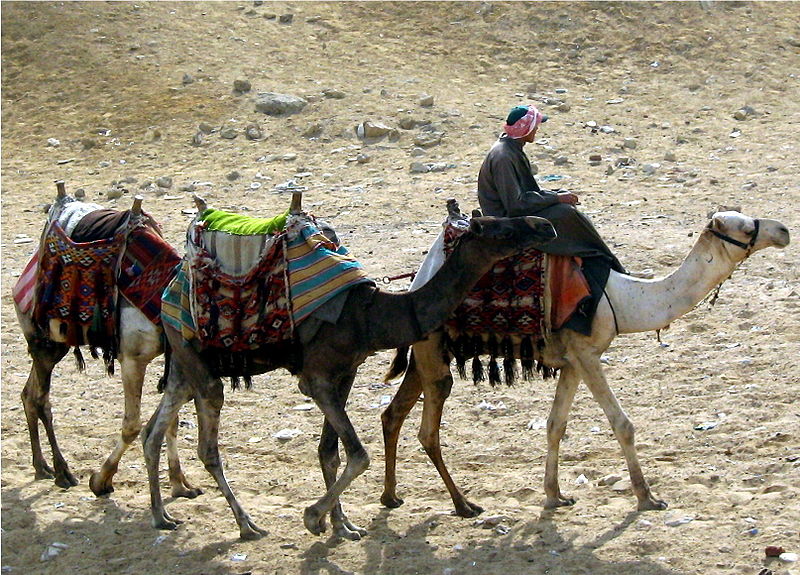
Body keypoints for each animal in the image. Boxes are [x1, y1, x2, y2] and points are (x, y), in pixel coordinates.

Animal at [14, 182, 202, 502]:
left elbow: (172, 421)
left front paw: (181, 484)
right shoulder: (132, 359)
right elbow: (132, 425)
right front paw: (101, 480)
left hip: (57, 343)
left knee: (29, 394)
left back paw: (42, 467)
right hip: (41, 338)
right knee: (40, 398)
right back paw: (62, 472)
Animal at [141, 197, 556, 540]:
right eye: (503, 228)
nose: (545, 226)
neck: (370, 316)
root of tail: (170, 287)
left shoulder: (346, 373)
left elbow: (331, 451)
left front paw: (342, 525)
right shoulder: (315, 379)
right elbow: (358, 455)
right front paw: (314, 518)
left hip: (185, 363)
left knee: (154, 429)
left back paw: (162, 515)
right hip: (196, 360)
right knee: (207, 445)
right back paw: (246, 525)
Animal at [380, 210, 788, 516]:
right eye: (747, 228)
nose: (783, 230)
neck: (622, 298)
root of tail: (416, 280)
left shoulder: (573, 362)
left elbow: (555, 425)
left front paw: (555, 495)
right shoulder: (588, 354)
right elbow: (622, 424)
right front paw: (647, 497)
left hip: (426, 353)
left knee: (393, 413)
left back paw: (391, 497)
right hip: (433, 352)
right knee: (427, 430)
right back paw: (463, 505)